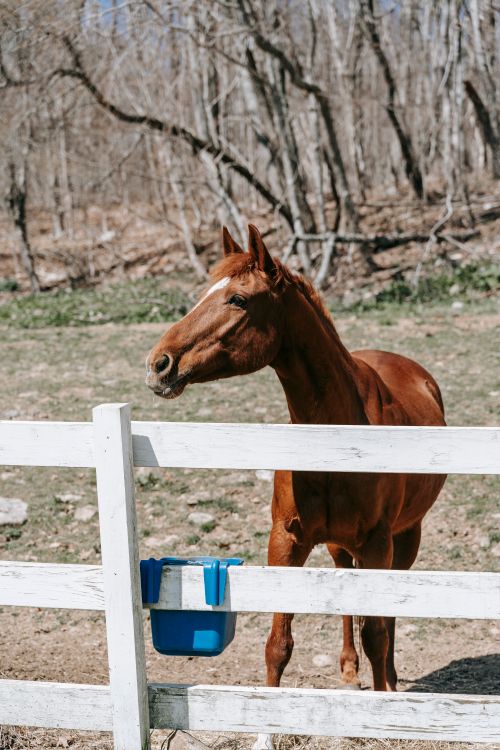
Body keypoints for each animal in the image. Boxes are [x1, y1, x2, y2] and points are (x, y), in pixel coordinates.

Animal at [145, 225, 446, 750]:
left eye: (239, 299)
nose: (159, 363)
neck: (333, 437)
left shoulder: (378, 543)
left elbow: (376, 631)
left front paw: (381, 713)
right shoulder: (286, 540)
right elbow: (278, 644)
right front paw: (265, 733)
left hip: (404, 539)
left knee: (385, 616)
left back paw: (387, 680)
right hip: (340, 546)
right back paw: (349, 672)